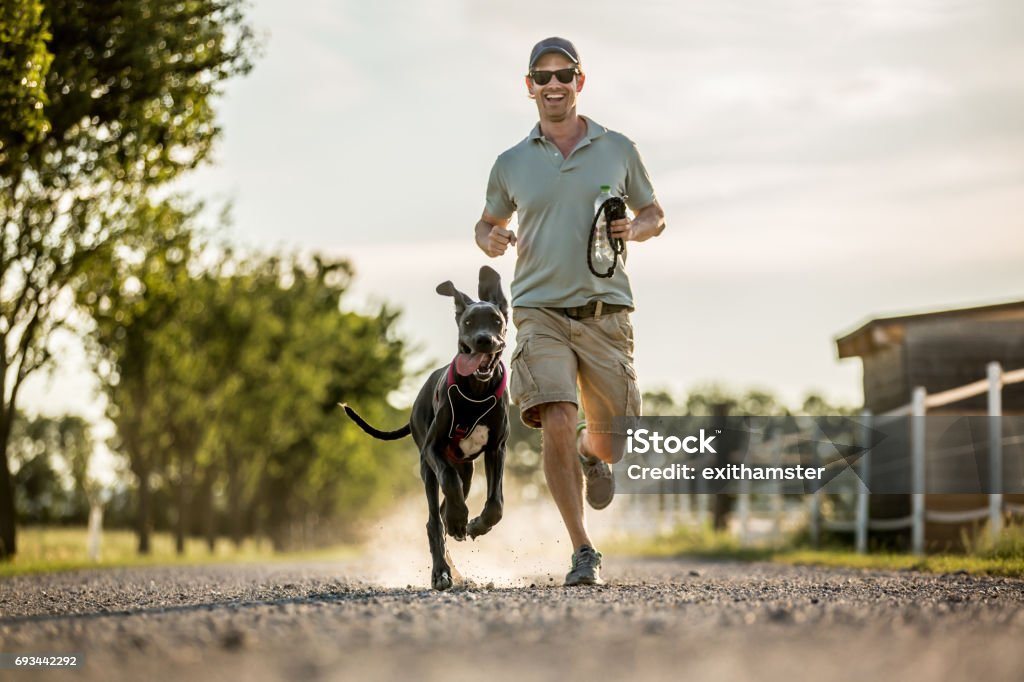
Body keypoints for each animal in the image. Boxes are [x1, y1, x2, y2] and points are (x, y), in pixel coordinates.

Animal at [342, 262, 509, 585]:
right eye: (468, 322)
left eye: (497, 320)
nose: (484, 339)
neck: (475, 393)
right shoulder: (433, 449)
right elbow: (448, 484)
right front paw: (459, 521)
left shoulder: (497, 449)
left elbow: (495, 504)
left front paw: (475, 525)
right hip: (426, 466)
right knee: (434, 518)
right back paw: (441, 571)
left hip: (467, 470)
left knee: (446, 507)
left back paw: (454, 558)